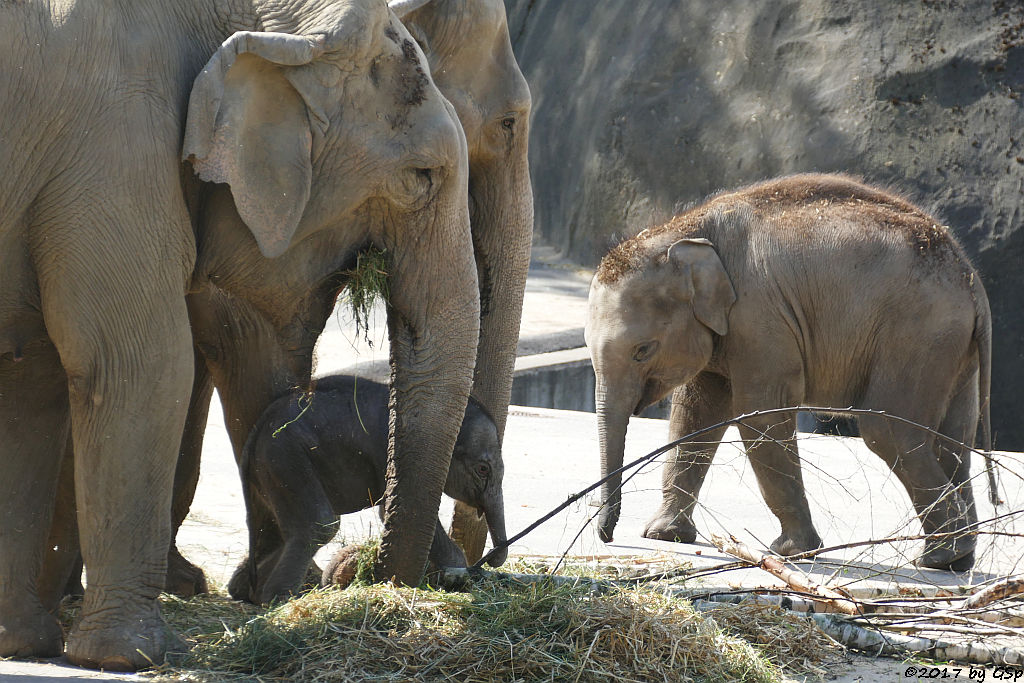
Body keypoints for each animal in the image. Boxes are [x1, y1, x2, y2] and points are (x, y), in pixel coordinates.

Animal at [1, 0, 479, 671]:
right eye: (423, 174)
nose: (363, 577)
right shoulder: (113, 151)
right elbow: (139, 364)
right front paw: (133, 657)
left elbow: (31, 378)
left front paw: (24, 643)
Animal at [243, 376, 507, 606]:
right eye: (483, 469)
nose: (492, 558)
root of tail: (258, 428)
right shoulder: (389, 452)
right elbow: (391, 510)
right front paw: (458, 576)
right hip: (285, 457)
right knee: (321, 524)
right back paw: (280, 601)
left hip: (274, 466)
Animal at [585, 172, 991, 573]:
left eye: (643, 350)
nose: (606, 536)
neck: (685, 230)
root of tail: (971, 281)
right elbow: (695, 415)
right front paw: (664, 536)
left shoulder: (760, 318)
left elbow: (760, 416)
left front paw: (789, 552)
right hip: (950, 349)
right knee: (953, 438)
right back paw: (958, 559)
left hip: (914, 336)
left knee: (888, 430)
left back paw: (939, 557)